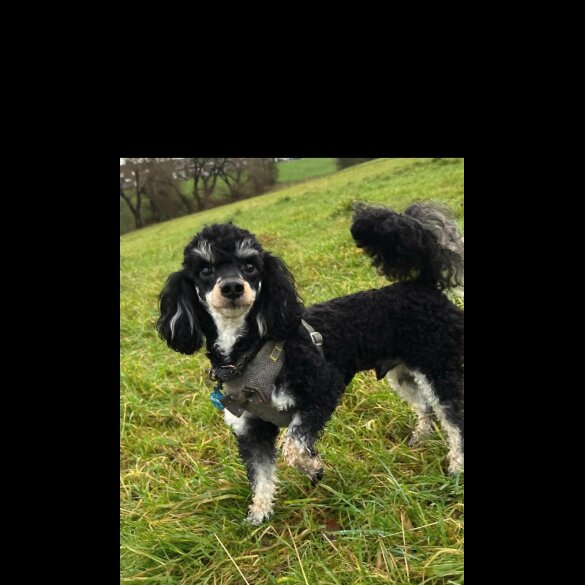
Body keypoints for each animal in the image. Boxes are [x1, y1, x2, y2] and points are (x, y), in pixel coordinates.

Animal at [156, 203, 466, 524]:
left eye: (250, 266)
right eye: (205, 270)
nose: (232, 287)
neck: (249, 351)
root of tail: (424, 284)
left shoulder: (321, 392)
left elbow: (293, 447)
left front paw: (313, 468)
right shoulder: (250, 429)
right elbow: (261, 475)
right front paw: (260, 515)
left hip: (437, 366)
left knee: (454, 419)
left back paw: (456, 467)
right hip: (403, 373)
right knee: (425, 405)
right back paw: (421, 436)